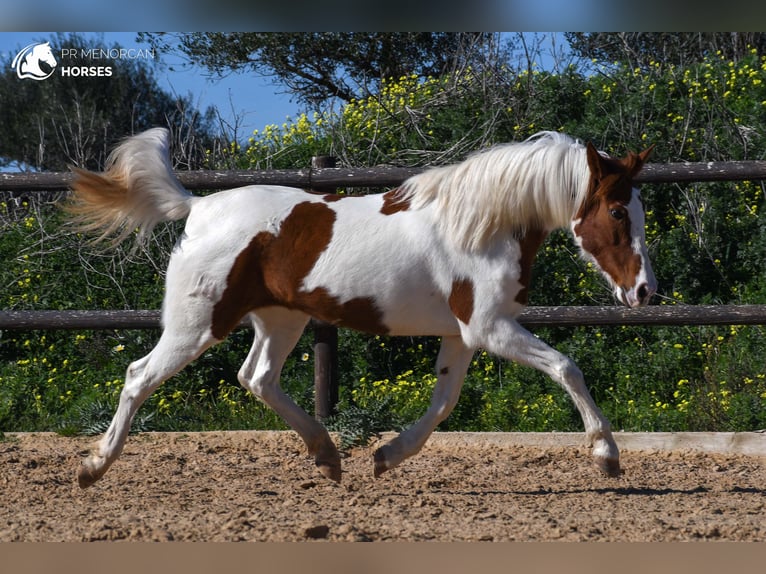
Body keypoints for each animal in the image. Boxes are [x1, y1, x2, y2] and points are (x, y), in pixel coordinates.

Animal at [64, 128, 656, 488]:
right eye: (617, 211)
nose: (645, 291)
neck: (478, 227)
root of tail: (199, 207)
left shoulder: (463, 335)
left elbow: (443, 403)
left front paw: (386, 455)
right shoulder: (491, 328)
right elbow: (566, 367)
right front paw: (607, 455)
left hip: (282, 319)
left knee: (256, 377)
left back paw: (328, 455)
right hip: (197, 323)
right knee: (140, 375)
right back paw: (94, 466)